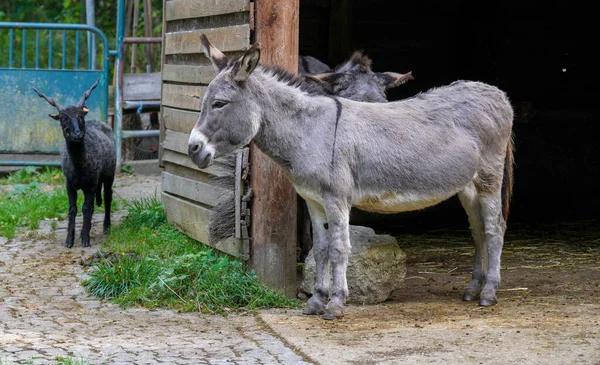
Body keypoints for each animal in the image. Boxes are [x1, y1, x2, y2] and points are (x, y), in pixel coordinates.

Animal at [33, 78, 116, 246]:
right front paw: (69, 240)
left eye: (81, 116)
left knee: (107, 196)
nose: (77, 134)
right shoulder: (69, 184)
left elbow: (85, 208)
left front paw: (85, 239)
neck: (79, 166)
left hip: (109, 173)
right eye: (63, 118)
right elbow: (73, 209)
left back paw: (106, 226)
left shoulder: (90, 183)